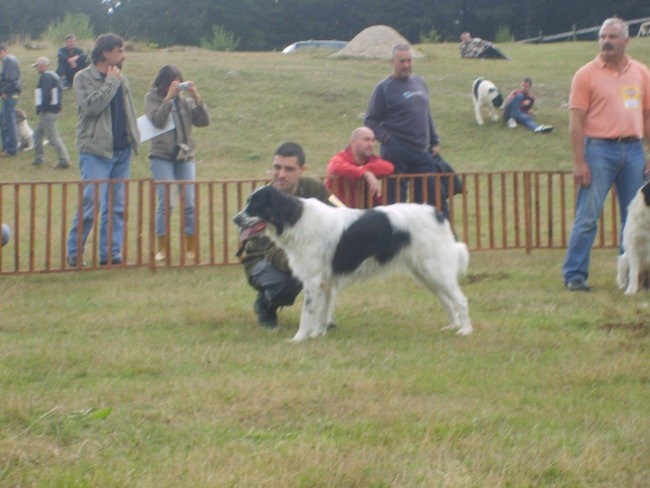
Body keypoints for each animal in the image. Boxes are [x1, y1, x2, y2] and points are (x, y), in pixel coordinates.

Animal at [233, 185, 470, 342]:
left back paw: (465, 330)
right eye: (247, 202)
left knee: (460, 299)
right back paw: (453, 325)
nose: (235, 218)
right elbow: (321, 313)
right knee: (447, 301)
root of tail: (436, 213)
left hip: (435, 269)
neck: (295, 218)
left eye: (255, 205)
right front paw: (318, 335)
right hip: (425, 273)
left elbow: (307, 312)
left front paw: (299, 338)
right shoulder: (325, 282)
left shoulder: (313, 280)